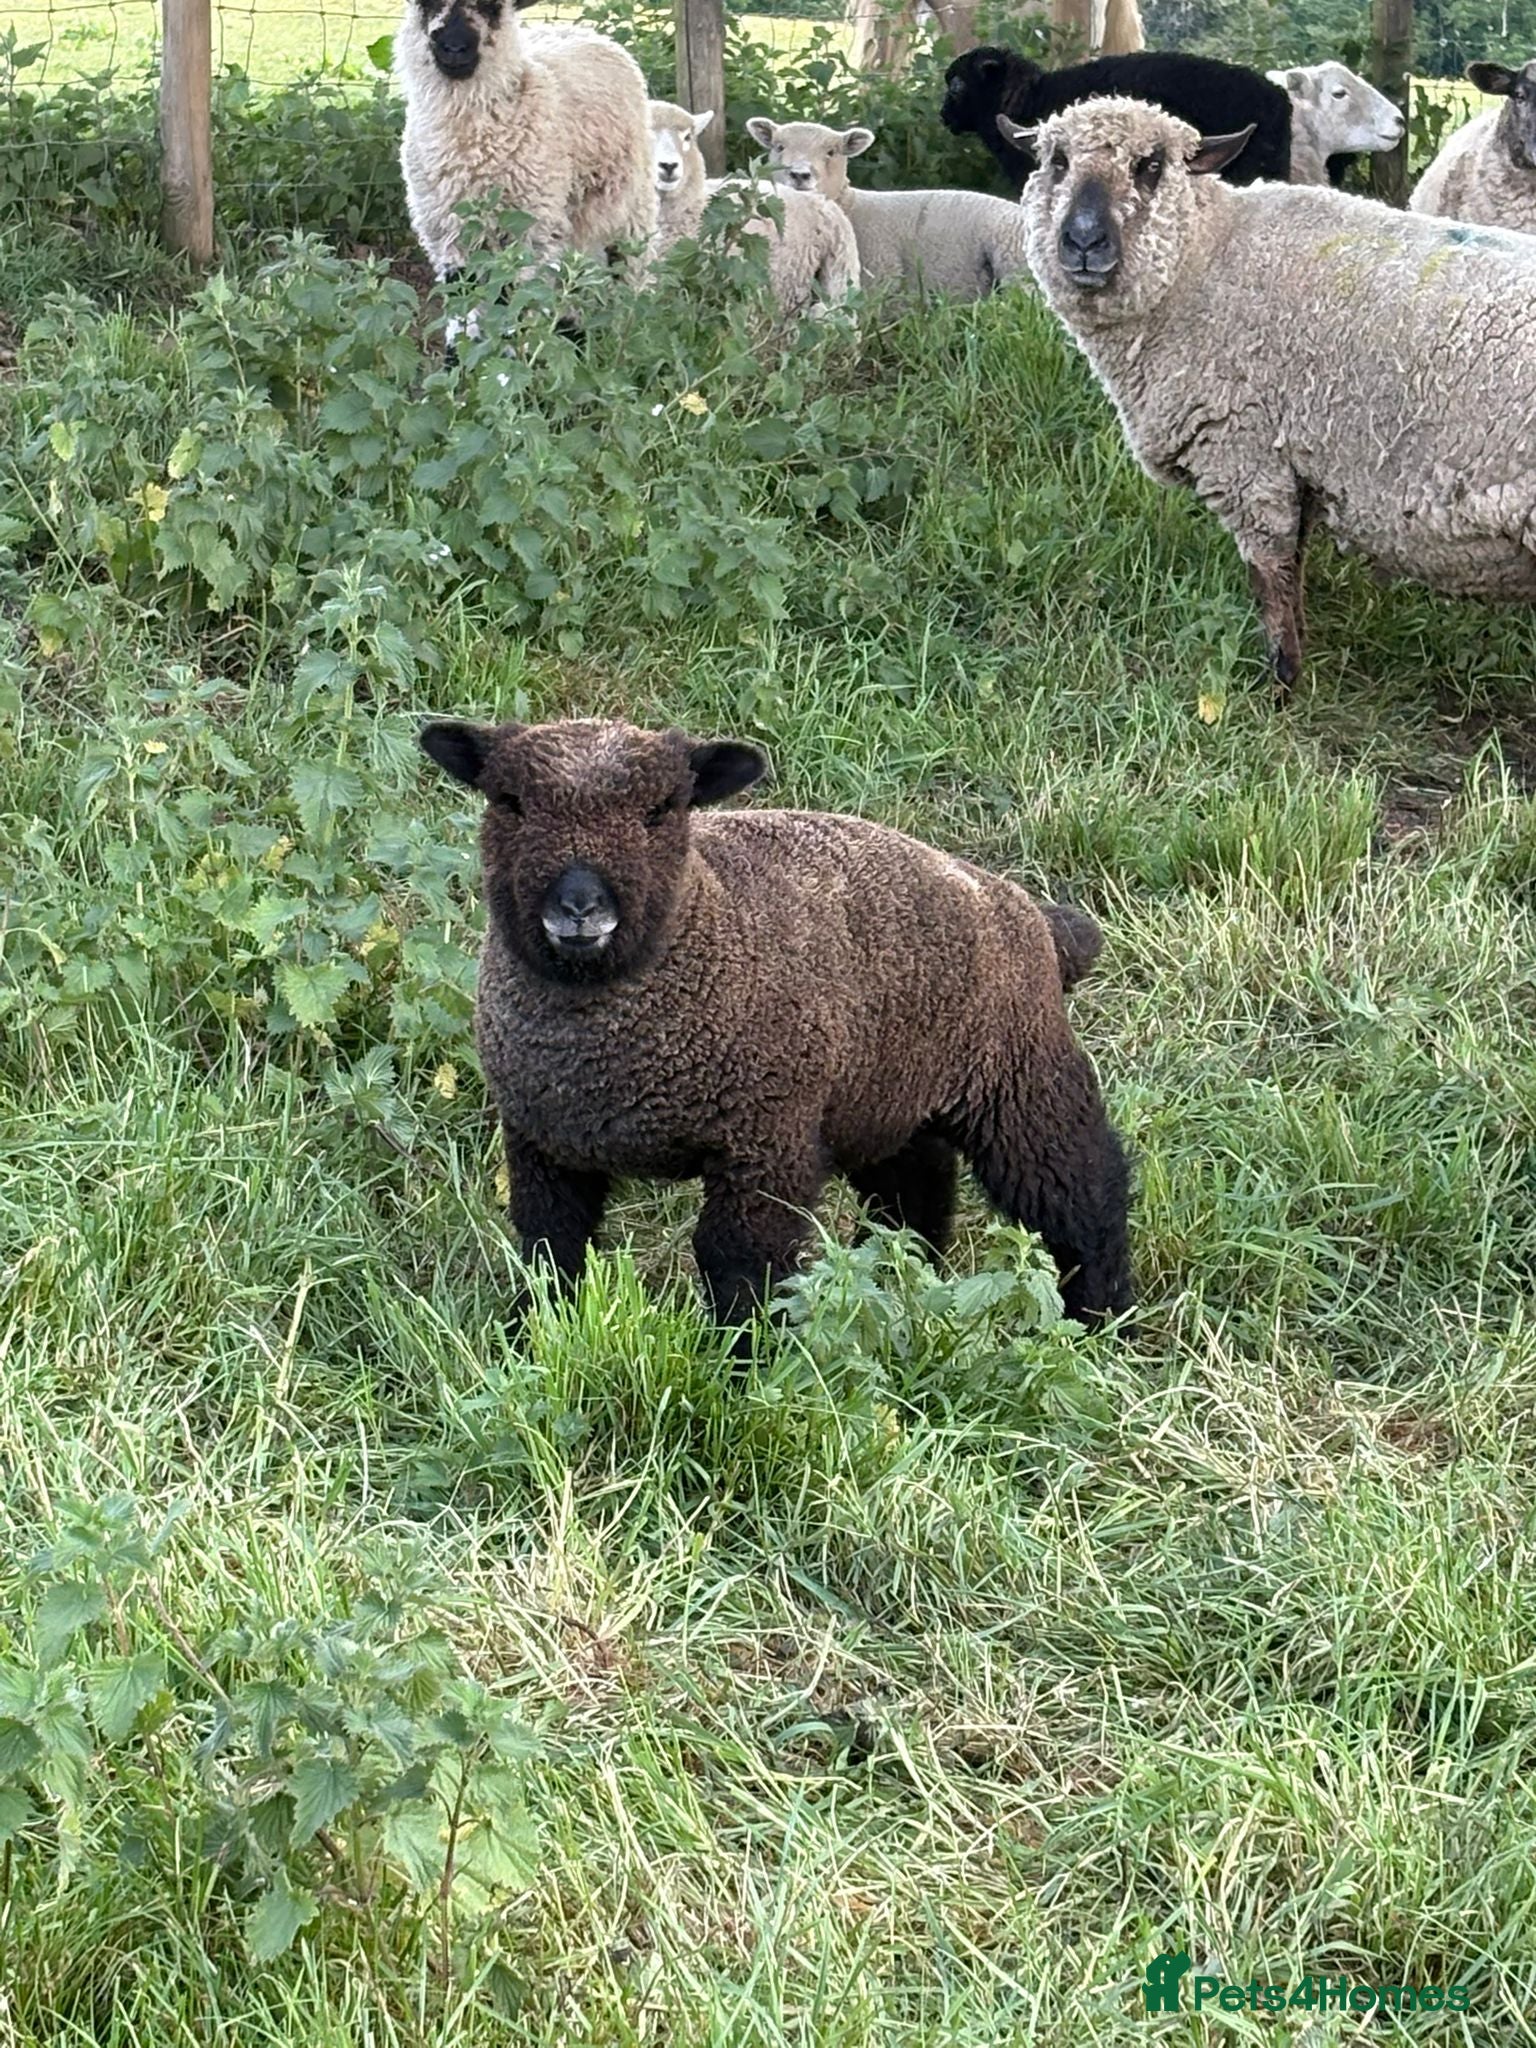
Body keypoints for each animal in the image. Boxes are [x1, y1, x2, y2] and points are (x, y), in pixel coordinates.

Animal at [395, 0, 656, 289]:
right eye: (426, 4)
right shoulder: (444, 229)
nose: (453, 48)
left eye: (491, 6)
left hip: (634, 201)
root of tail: (584, 30)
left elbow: (525, 291)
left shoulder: (534, 224)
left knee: (635, 261)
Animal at [418, 716, 1133, 1335]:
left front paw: (741, 1362)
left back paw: (1100, 1323)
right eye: (509, 802)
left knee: (1084, 1195)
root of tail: (1031, 915)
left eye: (662, 809)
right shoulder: (541, 1144)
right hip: (884, 1095)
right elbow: (550, 1248)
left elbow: (739, 1261)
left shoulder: (766, 1141)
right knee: (915, 1190)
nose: (578, 907)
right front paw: (530, 1335)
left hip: (1021, 1078)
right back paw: (900, 1282)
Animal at [1018, 96, 1536, 693]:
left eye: (1150, 165)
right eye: (1056, 162)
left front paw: (1281, 684)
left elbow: (1269, 578)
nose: (1083, 243)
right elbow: (1296, 566)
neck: (1204, 260)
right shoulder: (1295, 462)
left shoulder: (1245, 455)